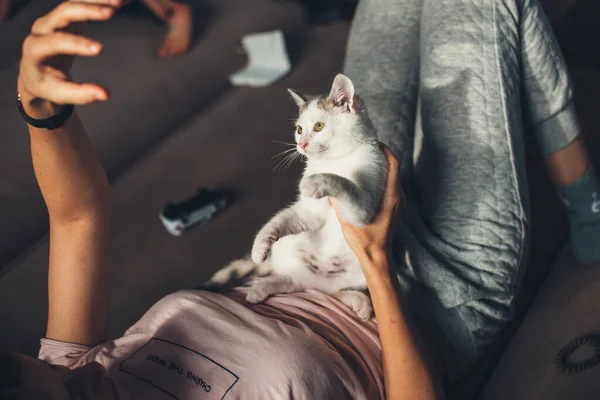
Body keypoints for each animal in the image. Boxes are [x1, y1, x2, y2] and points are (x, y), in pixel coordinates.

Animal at [209, 73, 386, 320]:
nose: (301, 144)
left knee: (331, 291)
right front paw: (260, 244)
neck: (335, 161)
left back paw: (358, 301)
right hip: (289, 247)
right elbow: (285, 219)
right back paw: (262, 287)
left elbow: (345, 185)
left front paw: (316, 180)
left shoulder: (365, 208)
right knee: (295, 282)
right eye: (300, 129)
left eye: (319, 126)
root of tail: (316, 280)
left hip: (361, 272)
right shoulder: (309, 213)